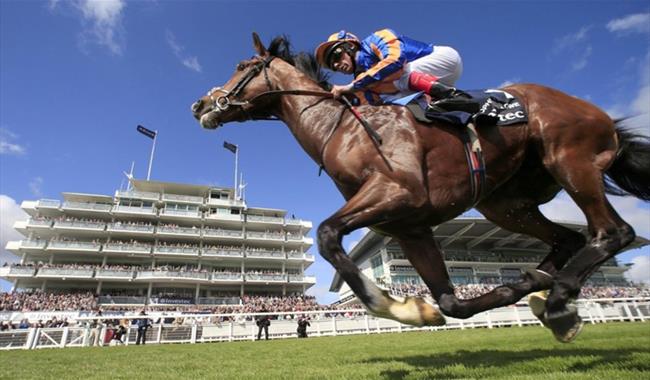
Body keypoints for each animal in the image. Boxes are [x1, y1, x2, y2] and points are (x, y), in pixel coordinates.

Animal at [190, 32, 648, 342]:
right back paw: (537, 287)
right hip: (506, 204)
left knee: (613, 232)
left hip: (570, 159)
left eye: (244, 65)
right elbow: (450, 302)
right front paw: (427, 309)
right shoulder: (409, 227)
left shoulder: (399, 194)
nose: (200, 105)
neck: (342, 129)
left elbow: (327, 234)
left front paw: (396, 306)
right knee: (569, 240)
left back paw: (558, 301)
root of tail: (598, 113)